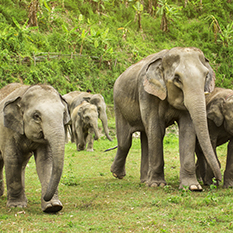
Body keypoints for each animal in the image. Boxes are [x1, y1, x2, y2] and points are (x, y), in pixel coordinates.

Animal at [0, 83, 70, 212]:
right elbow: (13, 159)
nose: (46, 196)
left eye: (63, 113)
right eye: (36, 116)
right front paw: (16, 206)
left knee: (21, 165)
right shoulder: (7, 131)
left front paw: (53, 206)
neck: (24, 92)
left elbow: (45, 161)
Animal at [111, 46, 222, 190]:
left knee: (145, 137)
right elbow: (157, 129)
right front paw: (157, 184)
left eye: (206, 76)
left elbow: (187, 130)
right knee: (125, 142)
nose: (217, 181)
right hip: (118, 106)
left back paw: (144, 180)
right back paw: (117, 174)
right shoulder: (146, 92)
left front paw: (192, 187)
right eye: (177, 79)